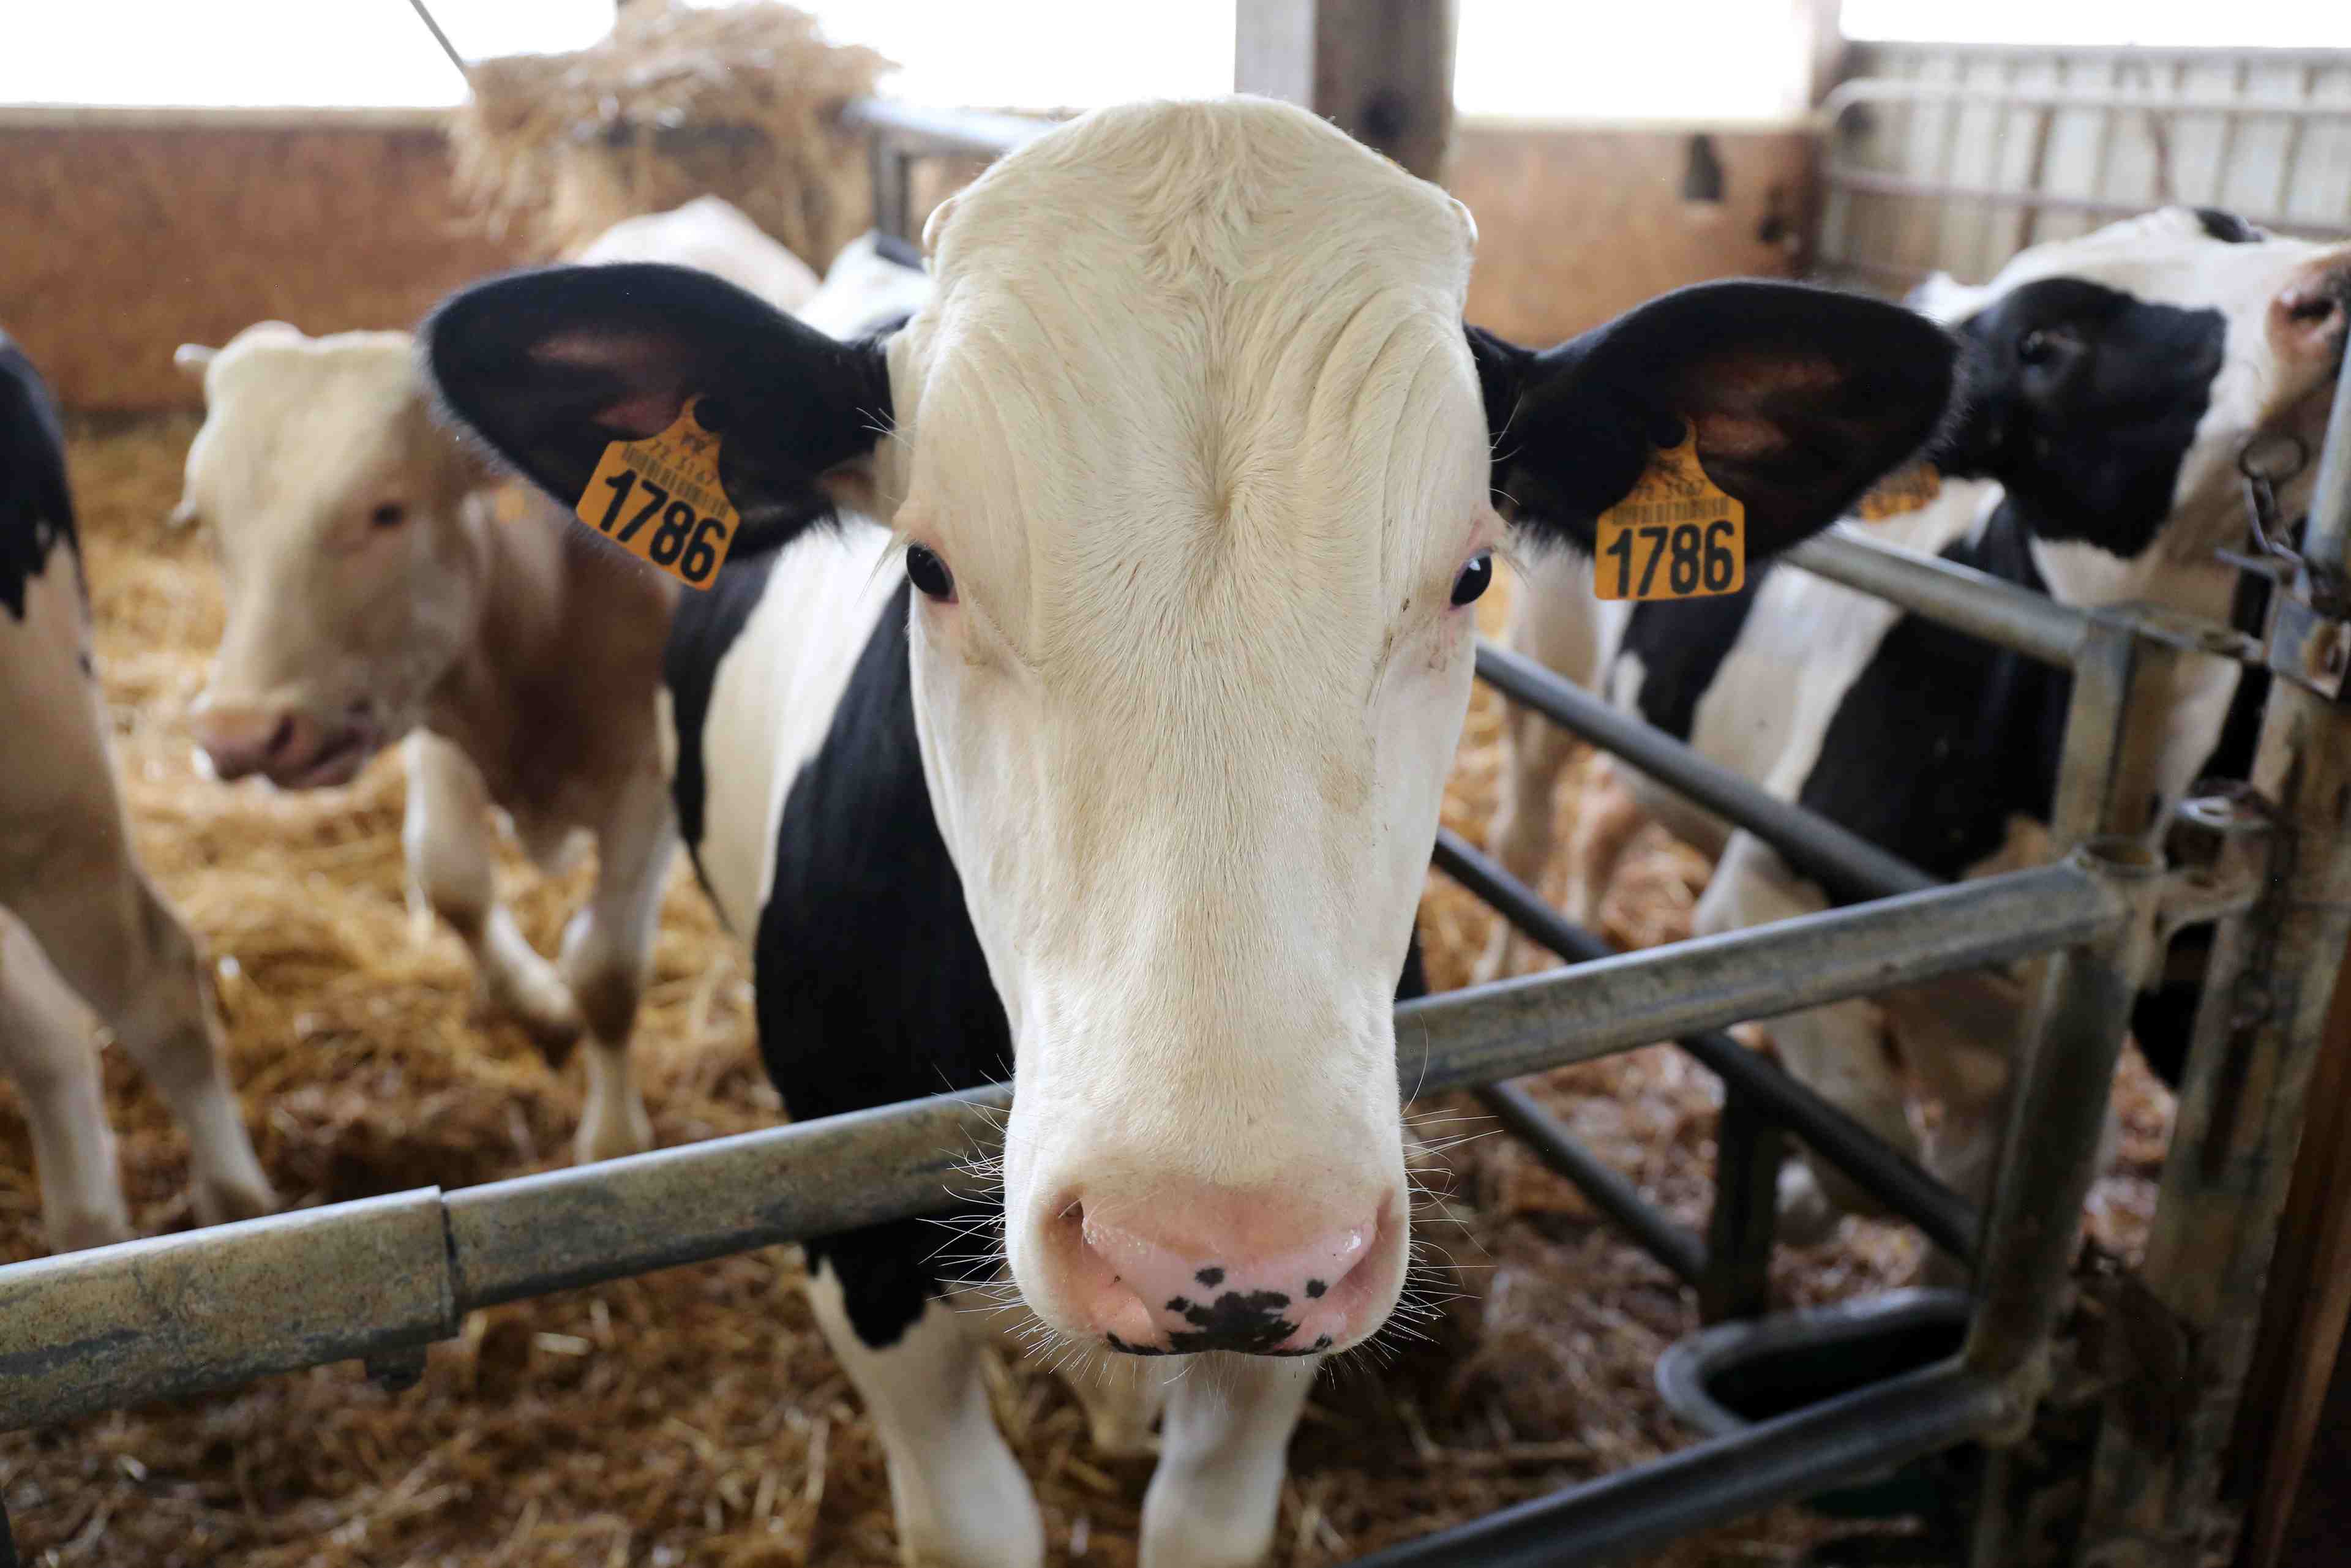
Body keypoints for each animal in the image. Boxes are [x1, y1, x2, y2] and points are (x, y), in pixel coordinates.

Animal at [170, 200, 828, 1166]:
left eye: (386, 510)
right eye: (206, 522)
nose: (240, 734)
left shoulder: (649, 788)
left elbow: (608, 968)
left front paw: (612, 1134)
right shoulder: (435, 716)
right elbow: (451, 882)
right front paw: (542, 1011)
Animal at [418, 98, 1958, 1568]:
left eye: (1471, 571)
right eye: (928, 565)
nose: (1213, 1248)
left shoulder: (1296, 1315)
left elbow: (1204, 1514)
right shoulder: (850, 1243)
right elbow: (976, 1519)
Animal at [1480, 206, 2351, 1235]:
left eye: (2234, 228)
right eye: (2041, 343)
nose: (2326, 286)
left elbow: (1985, 1178)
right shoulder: (1768, 896)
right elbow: (1871, 1151)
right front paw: (1794, 1194)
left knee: (1609, 819)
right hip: (1548, 664)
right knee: (1526, 827)